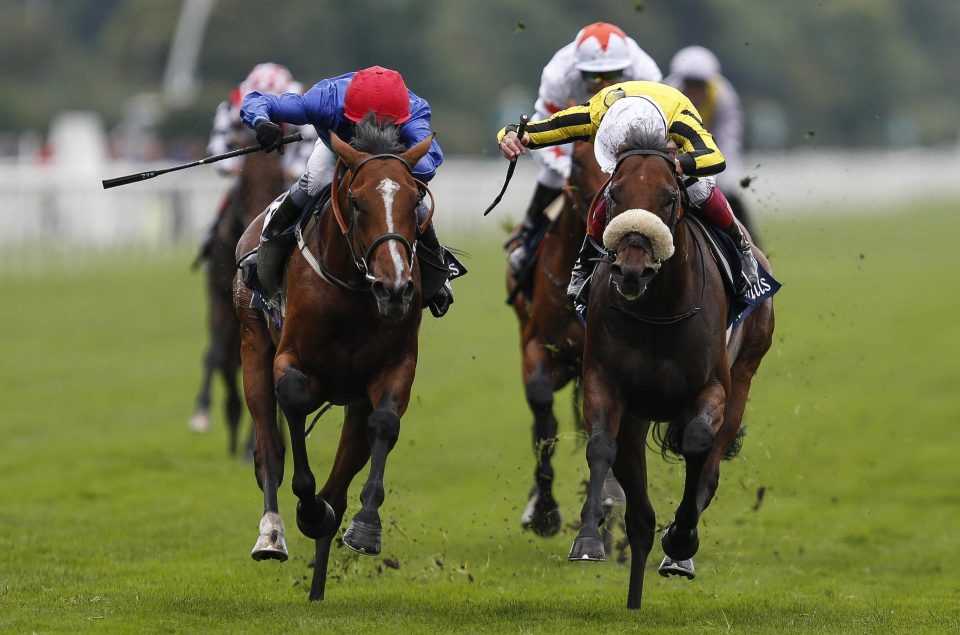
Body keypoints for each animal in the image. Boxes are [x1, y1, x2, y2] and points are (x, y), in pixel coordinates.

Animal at [234, 118, 436, 600]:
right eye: (358, 202)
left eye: (414, 200)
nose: (395, 288)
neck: (353, 290)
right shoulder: (289, 358)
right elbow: (292, 401)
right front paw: (306, 512)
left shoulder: (393, 368)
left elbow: (385, 425)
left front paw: (365, 527)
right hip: (252, 344)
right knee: (269, 448)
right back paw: (272, 533)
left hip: (354, 398)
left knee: (341, 481)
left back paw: (319, 579)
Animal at [568, 126, 776, 608]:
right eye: (614, 196)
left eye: (667, 198)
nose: (632, 269)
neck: (658, 311)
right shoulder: (607, 384)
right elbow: (600, 447)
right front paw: (587, 539)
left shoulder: (712, 387)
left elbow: (698, 443)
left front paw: (681, 542)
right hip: (638, 416)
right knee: (641, 518)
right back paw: (633, 599)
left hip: (745, 373)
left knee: (710, 468)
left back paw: (678, 553)